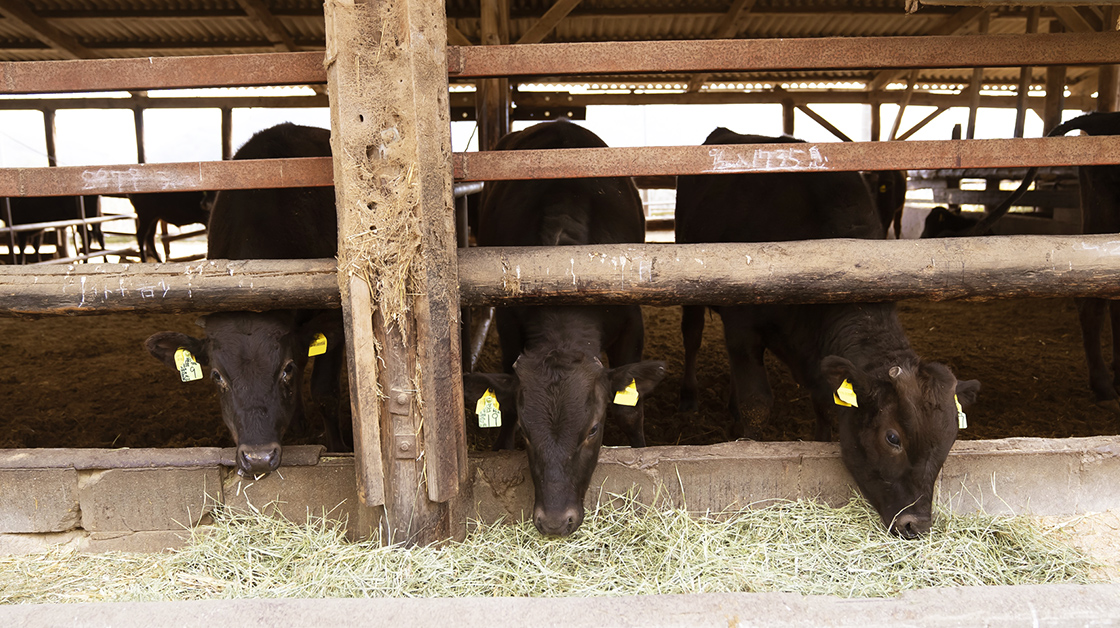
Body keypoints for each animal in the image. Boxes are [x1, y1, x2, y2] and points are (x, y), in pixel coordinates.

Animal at [463, 119, 663, 537]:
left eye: (593, 429)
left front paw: (642, 453)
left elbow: (630, 410)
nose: (555, 521)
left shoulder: (631, 321)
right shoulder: (508, 324)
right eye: (526, 432)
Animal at [672, 125, 981, 532]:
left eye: (948, 442)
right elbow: (757, 402)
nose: (916, 523)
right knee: (692, 336)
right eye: (892, 437)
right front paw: (748, 444)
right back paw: (689, 397)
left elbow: (822, 401)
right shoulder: (742, 327)